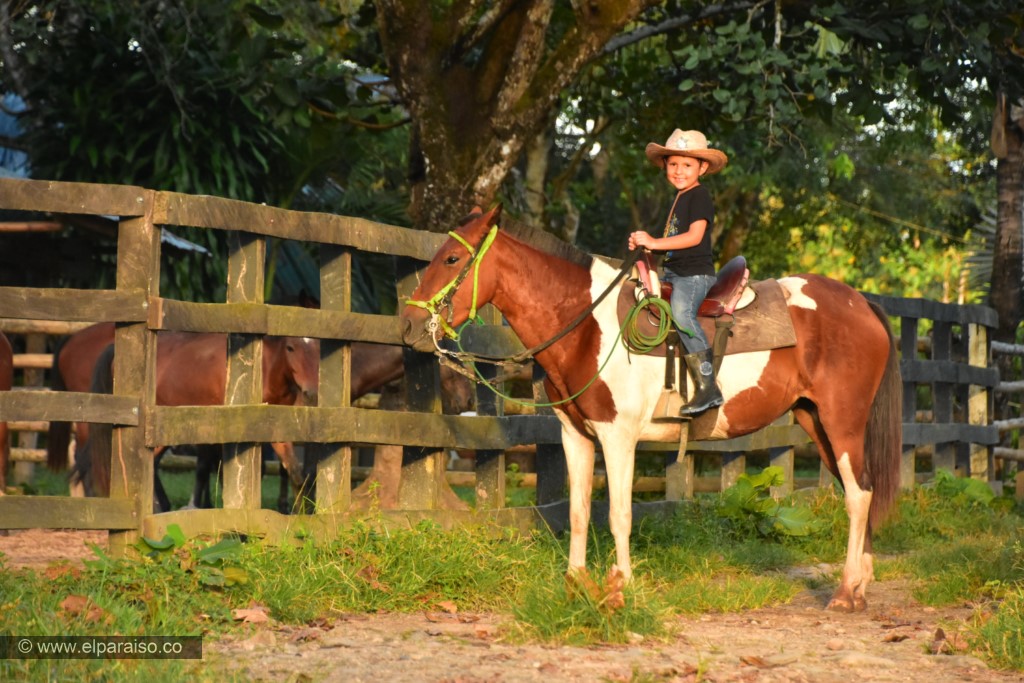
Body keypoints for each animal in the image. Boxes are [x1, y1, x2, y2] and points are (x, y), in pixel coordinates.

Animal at [400, 205, 902, 612]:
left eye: (451, 259)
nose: (408, 323)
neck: (588, 325)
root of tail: (862, 303)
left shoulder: (618, 435)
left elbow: (619, 513)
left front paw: (620, 587)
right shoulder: (575, 435)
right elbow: (579, 511)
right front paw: (576, 586)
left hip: (841, 421)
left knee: (858, 495)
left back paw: (845, 592)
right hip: (816, 421)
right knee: (861, 487)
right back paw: (860, 585)